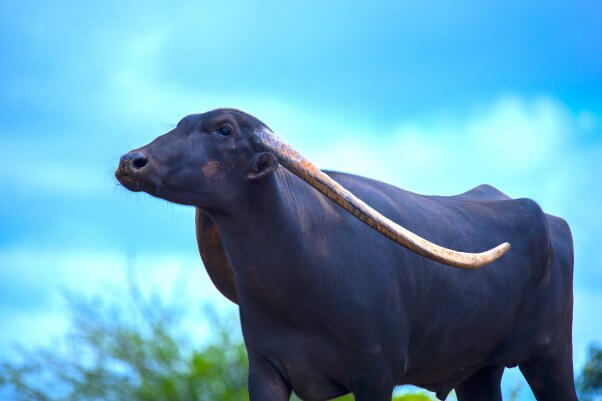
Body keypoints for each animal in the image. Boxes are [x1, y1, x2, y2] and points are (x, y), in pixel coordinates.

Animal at [115, 108, 576, 398]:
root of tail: (551, 221)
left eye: (224, 130)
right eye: (181, 124)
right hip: (479, 374)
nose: (131, 161)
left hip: (551, 355)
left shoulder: (376, 373)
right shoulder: (266, 370)